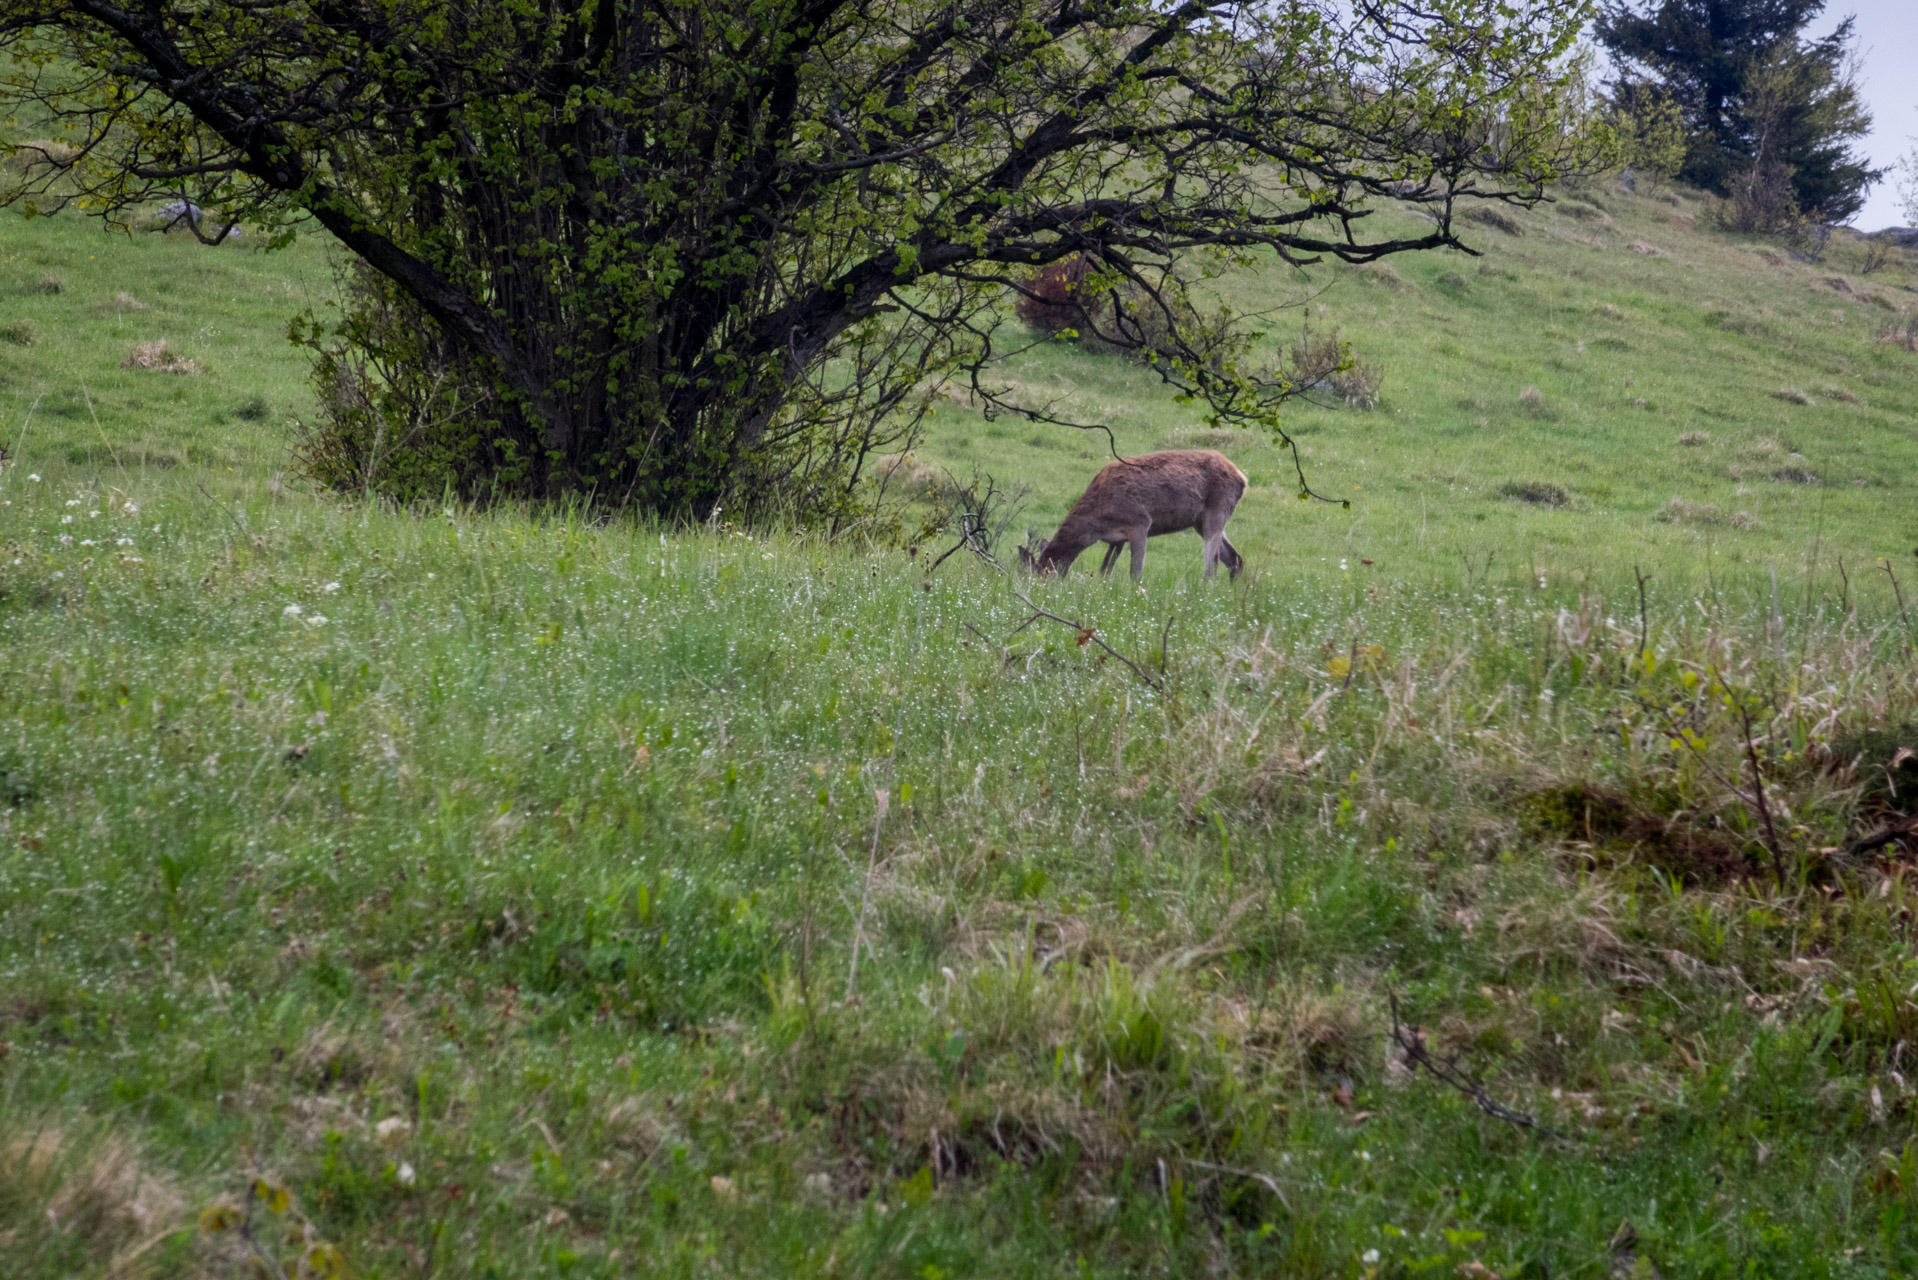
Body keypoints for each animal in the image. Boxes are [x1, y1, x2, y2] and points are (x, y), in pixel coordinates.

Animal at [1012, 450, 1250, 579]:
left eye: (1041, 576)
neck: (1097, 523)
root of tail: (1242, 478)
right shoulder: (1116, 539)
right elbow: (1104, 570)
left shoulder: (1140, 523)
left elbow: (1135, 573)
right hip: (1199, 522)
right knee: (1235, 559)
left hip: (1216, 510)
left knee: (1212, 566)